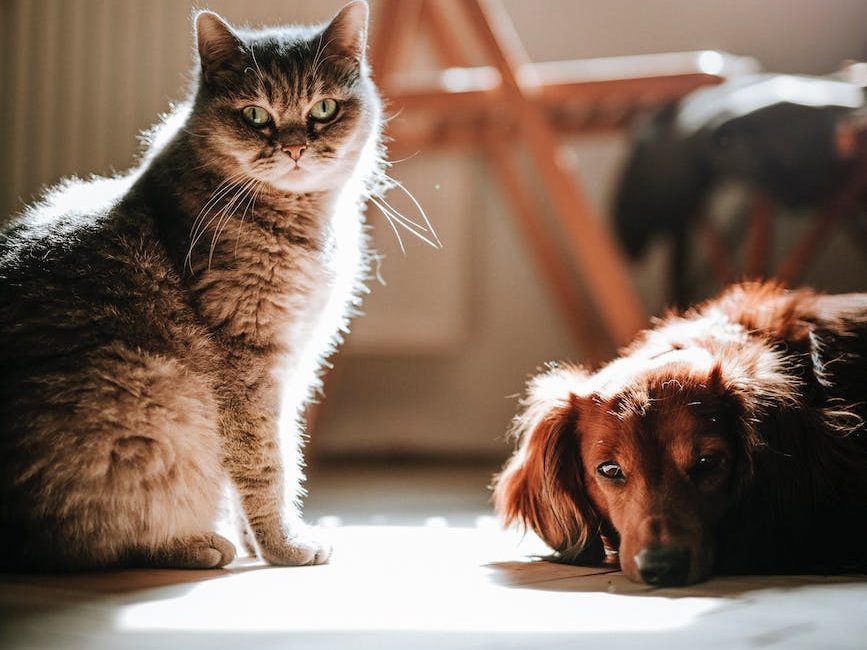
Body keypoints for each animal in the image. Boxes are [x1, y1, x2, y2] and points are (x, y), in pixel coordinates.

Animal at [0, 0, 386, 568]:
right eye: (254, 115)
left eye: (323, 109)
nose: (294, 147)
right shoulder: (247, 369)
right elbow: (267, 466)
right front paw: (283, 545)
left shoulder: (291, 371)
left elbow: (261, 463)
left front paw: (257, 543)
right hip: (156, 392)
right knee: (95, 539)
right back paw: (194, 543)